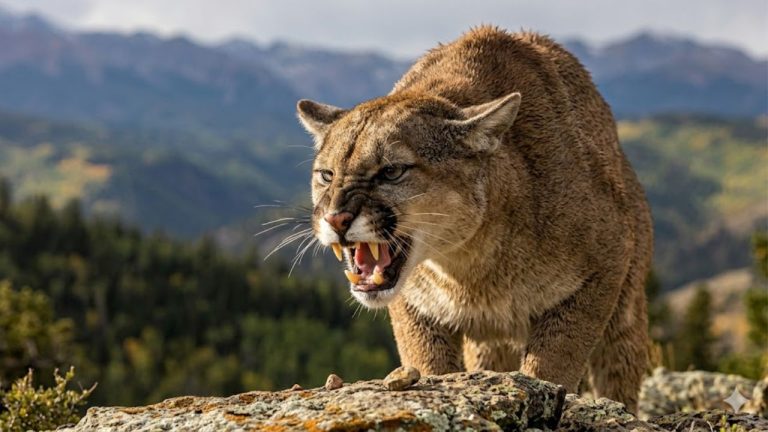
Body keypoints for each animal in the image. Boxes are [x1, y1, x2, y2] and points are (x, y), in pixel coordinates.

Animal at [296, 26, 653, 411]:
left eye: (391, 171)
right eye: (327, 175)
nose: (336, 218)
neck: (470, 266)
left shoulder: (606, 262)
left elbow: (554, 360)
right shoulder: (415, 306)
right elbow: (428, 361)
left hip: (625, 316)